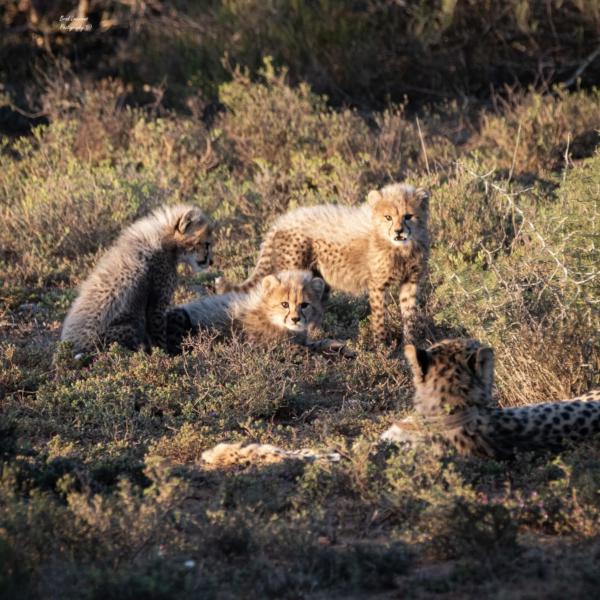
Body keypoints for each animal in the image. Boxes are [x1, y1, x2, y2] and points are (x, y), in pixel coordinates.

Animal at [62, 206, 213, 356]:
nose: (211, 262)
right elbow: (159, 337)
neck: (166, 240)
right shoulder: (156, 306)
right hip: (129, 327)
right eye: (206, 244)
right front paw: (165, 356)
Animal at [165, 270, 352, 356]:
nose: (295, 319)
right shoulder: (265, 347)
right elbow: (307, 349)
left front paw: (341, 346)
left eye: (304, 305)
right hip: (180, 319)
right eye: (285, 304)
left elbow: (315, 342)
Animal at [218, 182, 428, 346]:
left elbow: (410, 315)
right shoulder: (377, 285)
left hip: (320, 280)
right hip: (293, 269)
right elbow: (379, 318)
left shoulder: (410, 282)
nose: (399, 232)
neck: (401, 248)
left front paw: (411, 345)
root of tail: (284, 220)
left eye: (408, 216)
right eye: (388, 217)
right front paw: (381, 348)